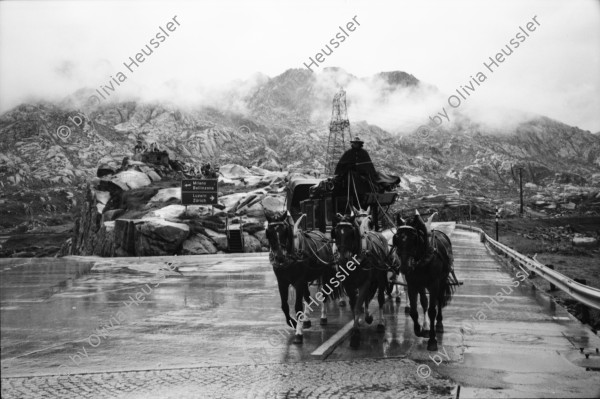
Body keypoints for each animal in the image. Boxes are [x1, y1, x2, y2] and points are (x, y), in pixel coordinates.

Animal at [268, 211, 342, 346]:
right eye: (269, 232)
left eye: (284, 231)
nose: (279, 257)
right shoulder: (282, 282)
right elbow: (285, 306)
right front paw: (293, 322)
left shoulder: (299, 282)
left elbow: (297, 306)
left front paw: (298, 332)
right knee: (307, 297)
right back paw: (306, 319)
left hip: (323, 274)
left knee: (324, 294)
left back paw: (323, 317)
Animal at [336, 208, 392, 348]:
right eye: (336, 233)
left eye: (351, 233)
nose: (343, 257)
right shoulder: (349, 285)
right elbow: (354, 305)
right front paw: (356, 328)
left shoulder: (365, 282)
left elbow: (358, 306)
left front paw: (355, 335)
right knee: (367, 298)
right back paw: (367, 316)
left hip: (381, 278)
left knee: (380, 298)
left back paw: (380, 323)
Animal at [392, 211, 458, 352]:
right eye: (397, 239)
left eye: (413, 238)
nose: (404, 267)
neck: (423, 259)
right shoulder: (413, 284)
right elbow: (413, 311)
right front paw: (420, 331)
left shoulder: (434, 284)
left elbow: (432, 311)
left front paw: (432, 340)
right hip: (422, 285)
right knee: (424, 302)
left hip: (442, 281)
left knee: (439, 300)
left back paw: (439, 324)